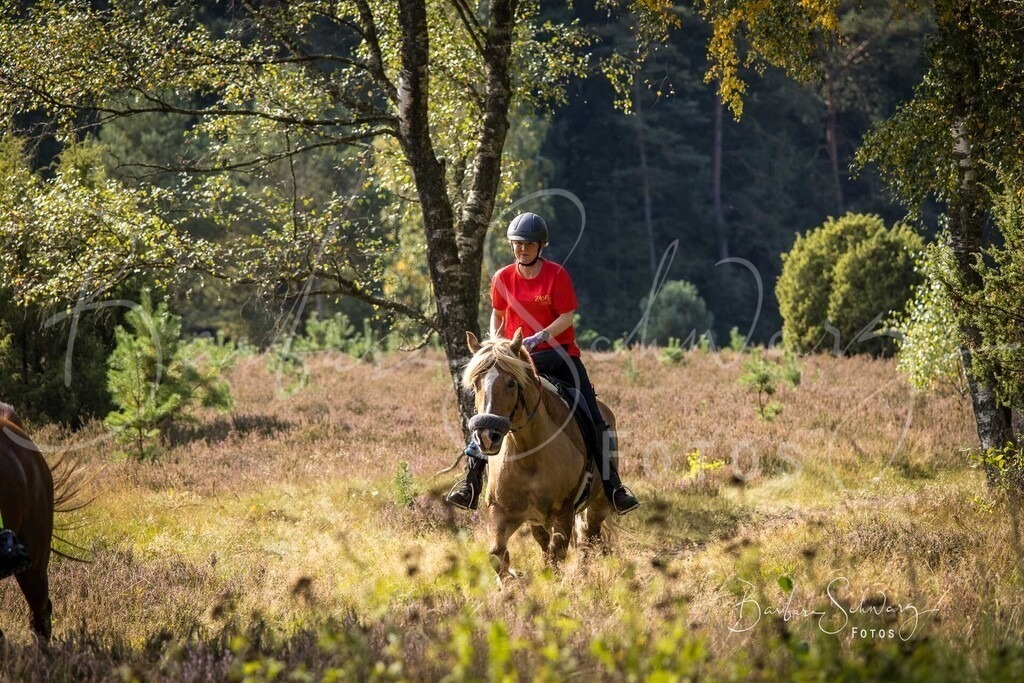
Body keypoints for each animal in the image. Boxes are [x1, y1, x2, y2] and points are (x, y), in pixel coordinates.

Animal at [463, 330, 613, 580]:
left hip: (597, 504)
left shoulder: (563, 512)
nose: (486, 435)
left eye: (511, 383)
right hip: (537, 519)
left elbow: (557, 554)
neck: (528, 453)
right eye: (476, 383)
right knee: (546, 540)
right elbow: (497, 554)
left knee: (587, 539)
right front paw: (512, 583)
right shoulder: (501, 511)